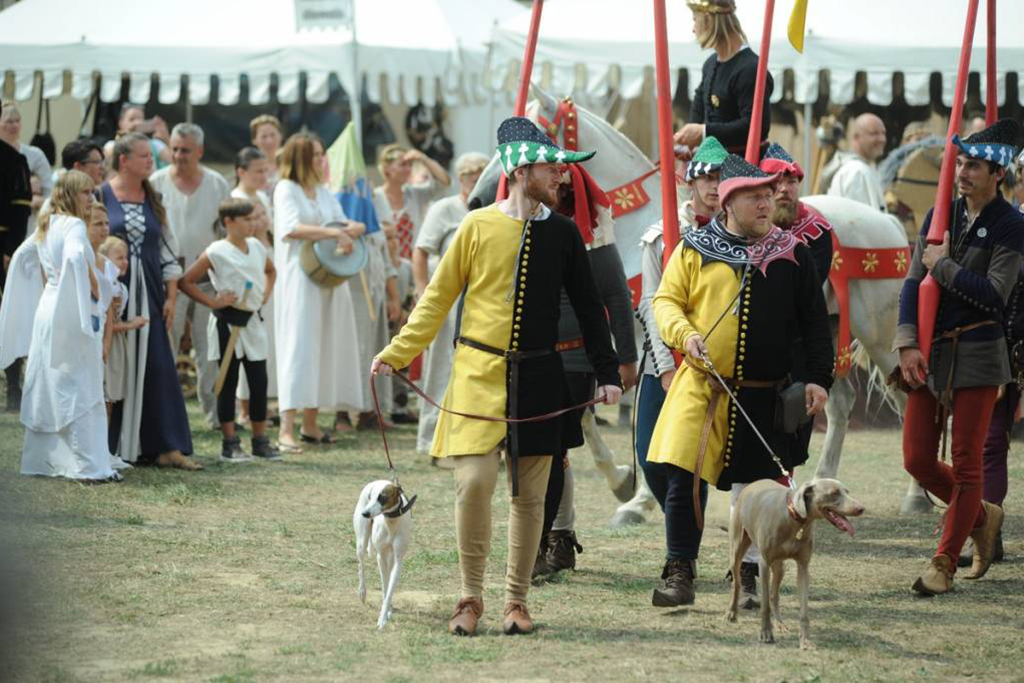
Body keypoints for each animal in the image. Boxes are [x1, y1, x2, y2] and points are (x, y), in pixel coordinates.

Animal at [354, 481, 413, 630]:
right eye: (371, 496)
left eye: (383, 498)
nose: (365, 513)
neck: (391, 522)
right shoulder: (380, 556)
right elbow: (385, 586)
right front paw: (384, 616)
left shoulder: (398, 560)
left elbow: (390, 588)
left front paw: (384, 615)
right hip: (362, 543)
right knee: (361, 565)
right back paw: (362, 592)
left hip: (390, 557)